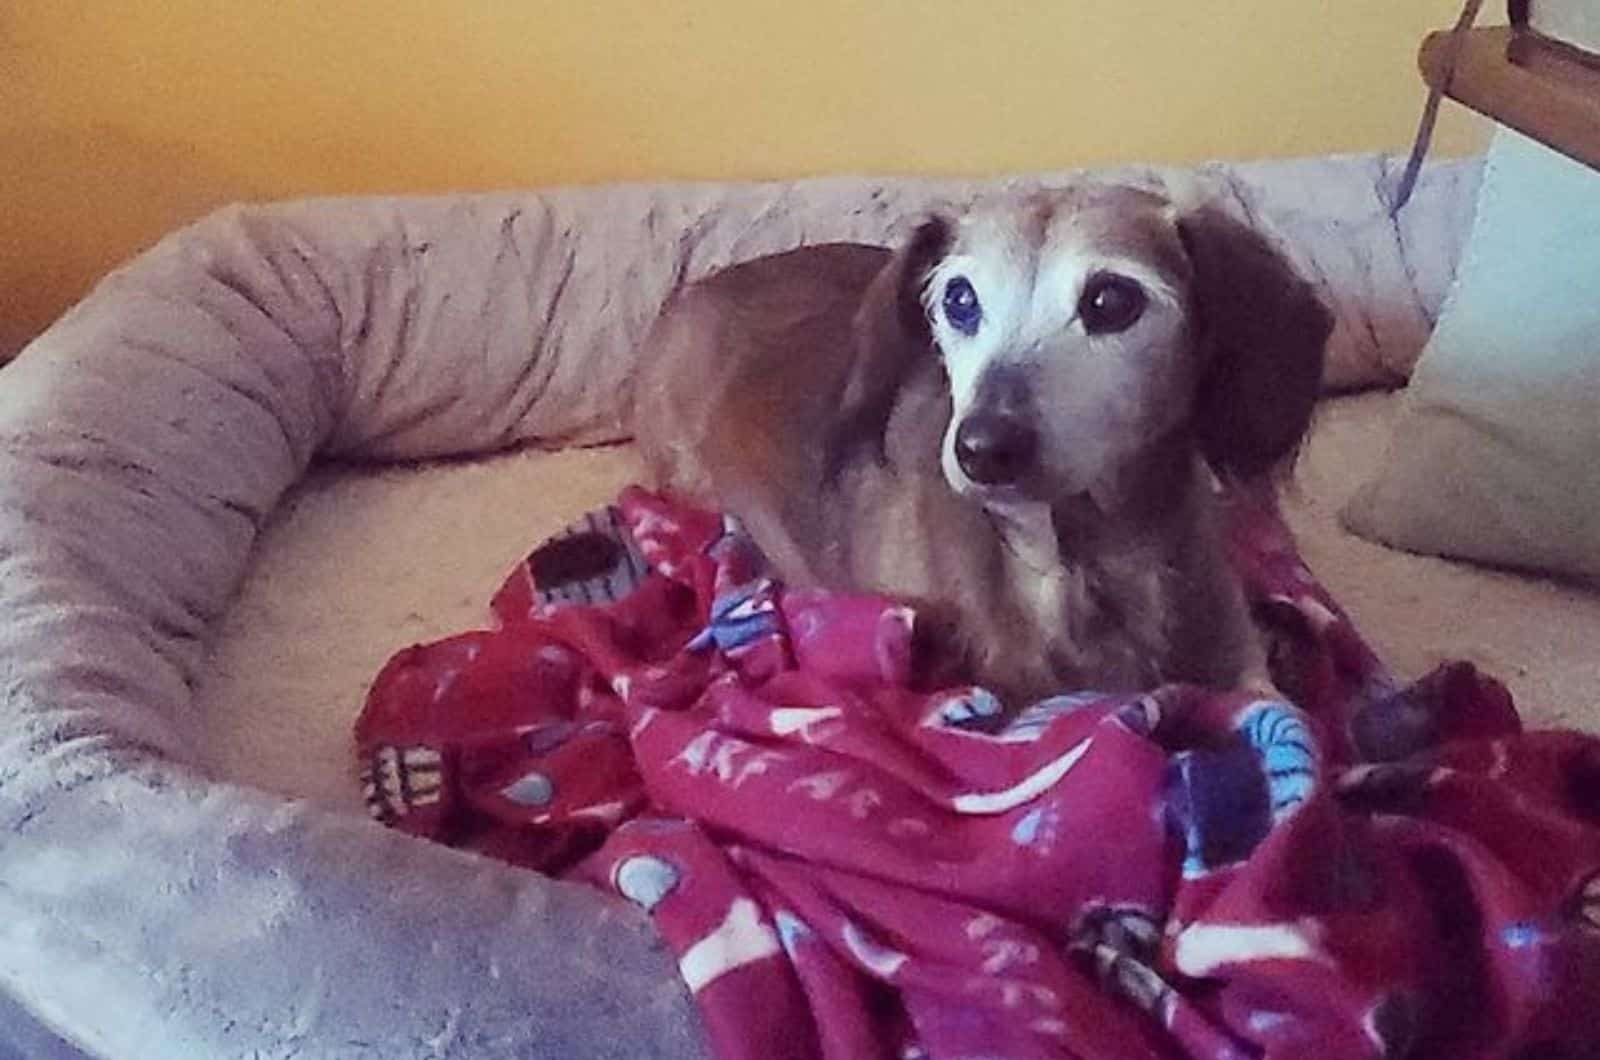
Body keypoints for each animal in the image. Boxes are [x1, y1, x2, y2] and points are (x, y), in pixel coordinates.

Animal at [630, 186, 1331, 710]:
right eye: (960, 298)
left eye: (1111, 299)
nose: (982, 449)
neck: (1084, 556)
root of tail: (693, 292)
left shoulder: (1242, 670)